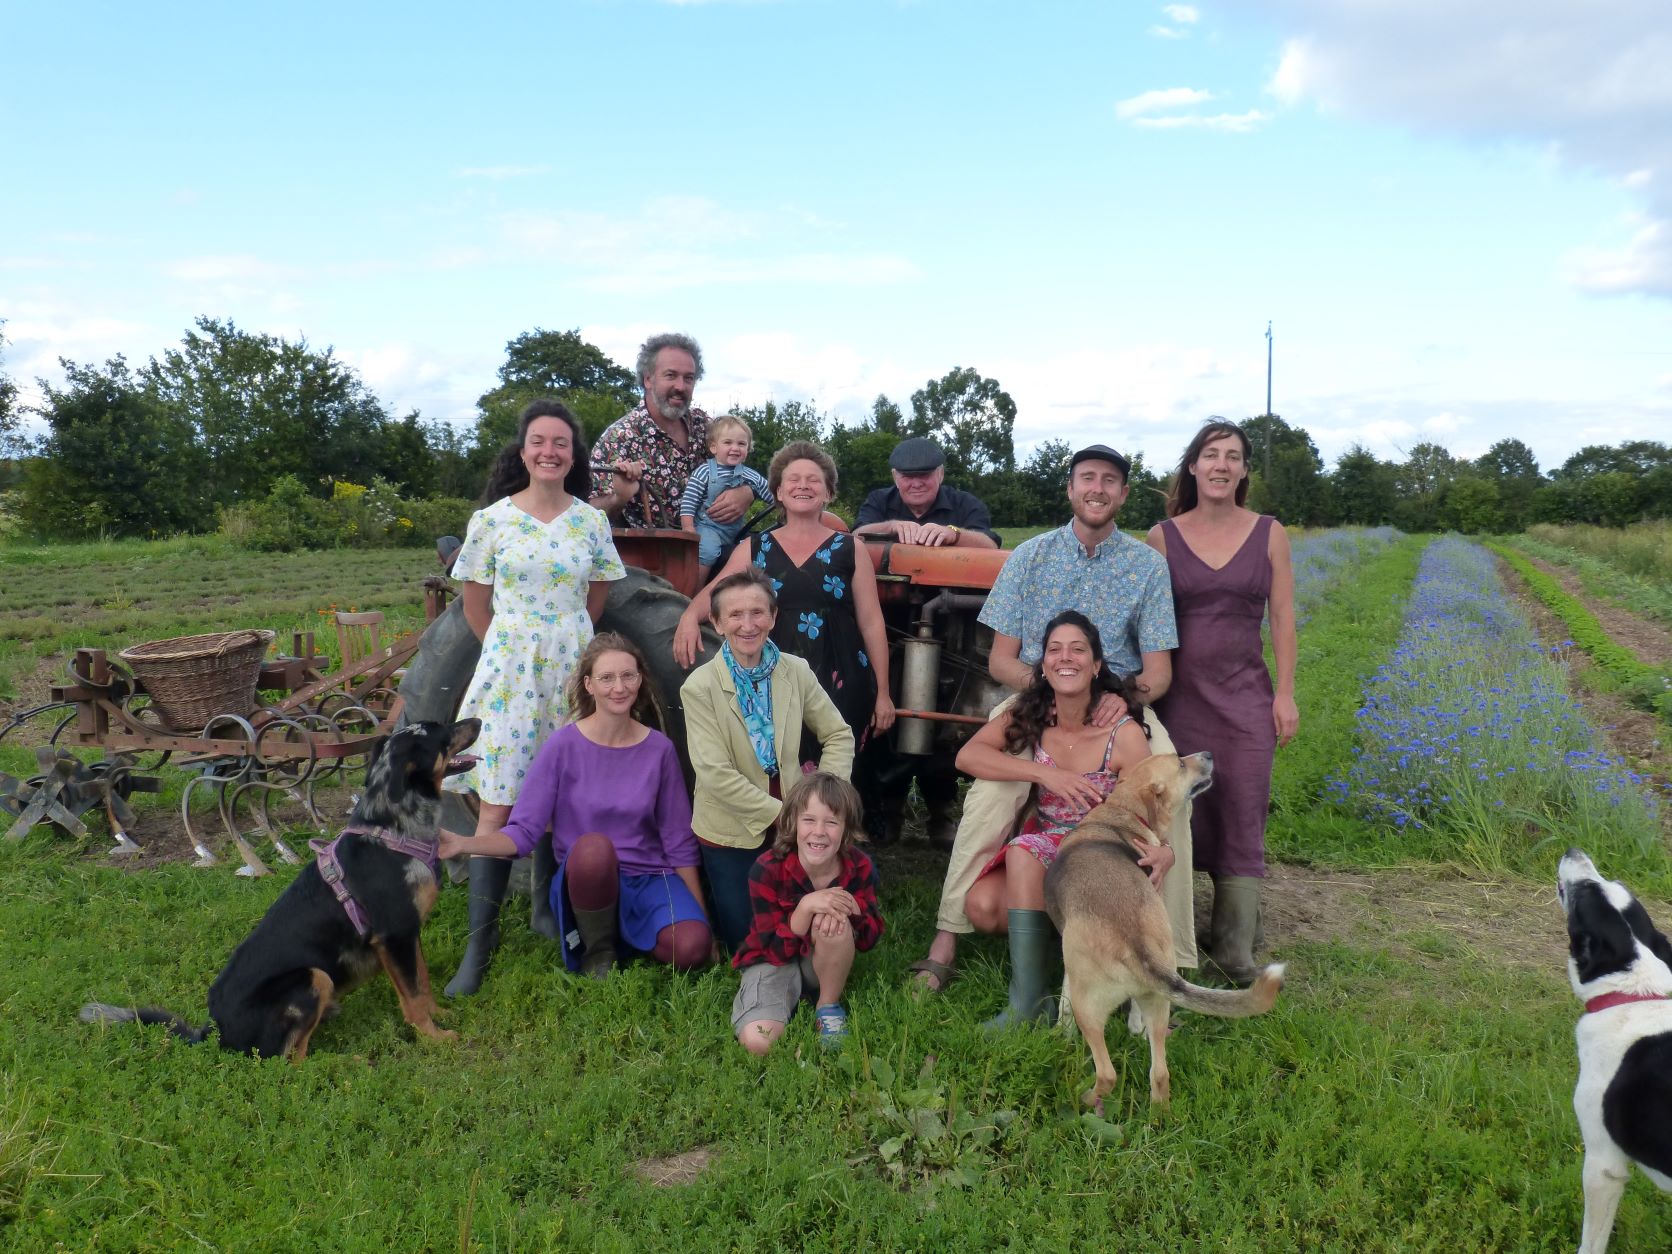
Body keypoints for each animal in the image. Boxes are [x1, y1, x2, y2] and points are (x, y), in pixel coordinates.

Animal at [81, 715, 481, 1063]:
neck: (393, 831)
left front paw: (442, 1015)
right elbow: (412, 996)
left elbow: (422, 982)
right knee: (289, 1060)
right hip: (312, 977)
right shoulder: (395, 934)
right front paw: (435, 1038)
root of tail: (215, 1031)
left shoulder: (408, 935)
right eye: (442, 730)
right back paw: (347, 1062)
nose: (477, 721)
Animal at [1043, 745, 1290, 1110]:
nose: (1208, 753)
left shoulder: (1070, 968)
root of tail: (1138, 947)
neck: (1123, 813)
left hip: (1090, 1010)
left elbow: (1063, 1003)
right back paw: (1159, 1113)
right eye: (1180, 764)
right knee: (1159, 1073)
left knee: (1108, 1073)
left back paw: (1085, 1099)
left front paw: (1060, 1035)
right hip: (1159, 1001)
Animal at [1551, 849, 1672, 1250]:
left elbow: (1591, 1243)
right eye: (1615, 883)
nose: (1573, 851)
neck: (1632, 995)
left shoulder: (1603, 1165)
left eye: (1587, 892)